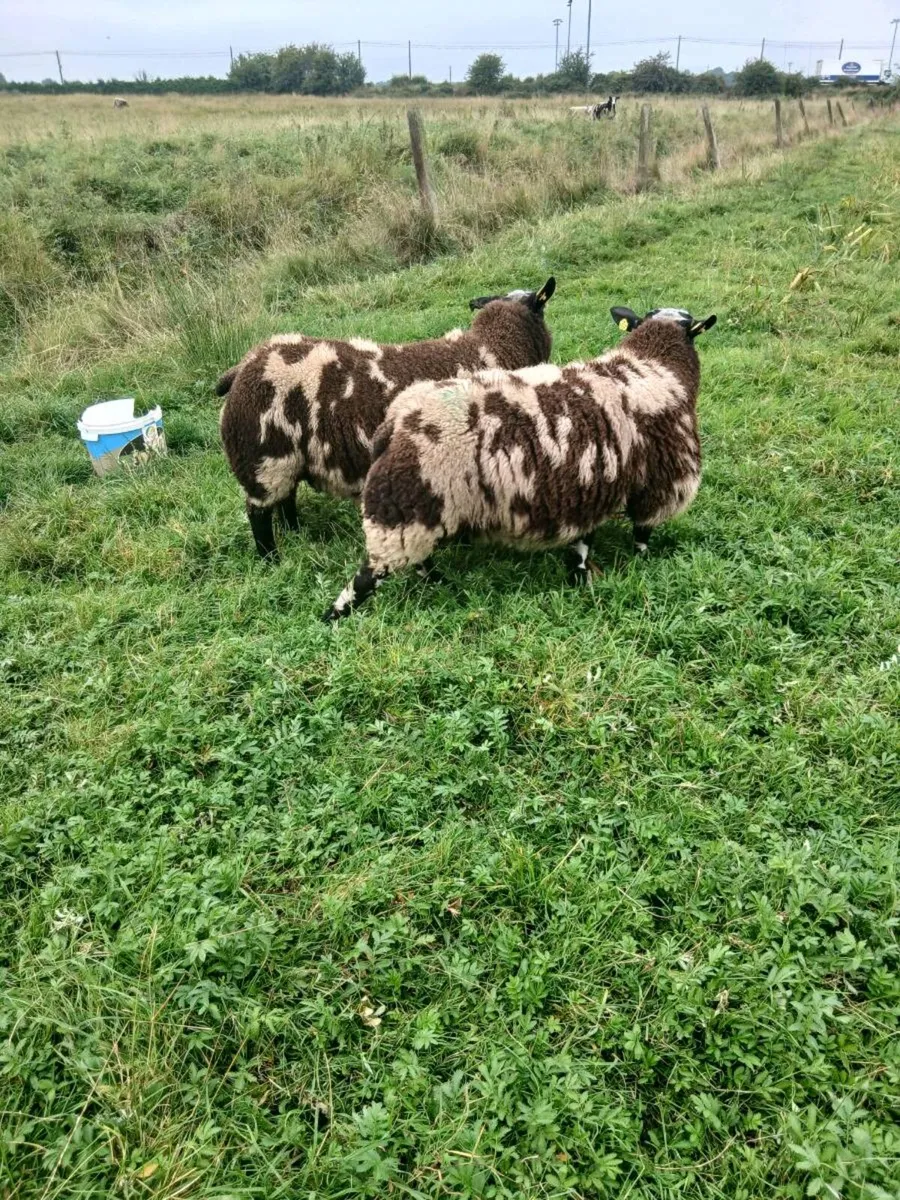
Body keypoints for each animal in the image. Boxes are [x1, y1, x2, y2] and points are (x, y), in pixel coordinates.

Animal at [217, 278, 556, 559]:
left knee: (286, 499)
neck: (491, 349)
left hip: (285, 459)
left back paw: (296, 532)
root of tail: (242, 366)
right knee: (259, 514)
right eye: (541, 309)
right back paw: (271, 558)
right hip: (263, 460)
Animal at [323, 304, 716, 621]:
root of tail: (395, 423)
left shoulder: (590, 484)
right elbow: (642, 534)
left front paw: (579, 576)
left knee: (416, 561)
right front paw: (639, 563)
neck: (654, 367)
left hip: (418, 510)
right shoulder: (663, 479)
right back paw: (334, 618)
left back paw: (440, 583)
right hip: (402, 506)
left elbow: (583, 542)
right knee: (368, 576)